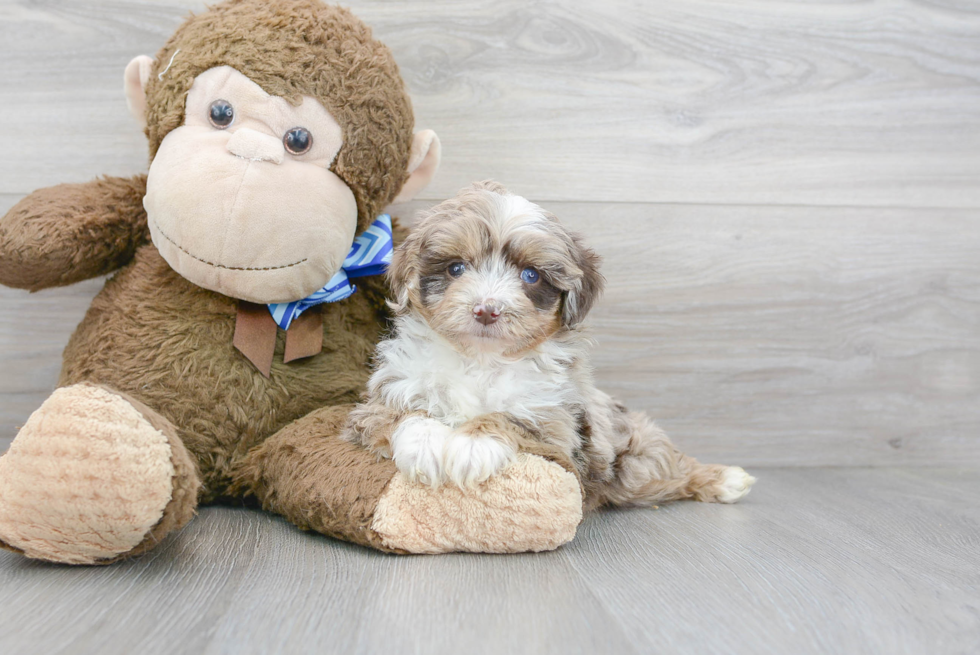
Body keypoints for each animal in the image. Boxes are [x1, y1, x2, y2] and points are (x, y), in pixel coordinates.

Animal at [346, 182, 756, 510]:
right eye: (456, 268)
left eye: (531, 276)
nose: (486, 310)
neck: (480, 359)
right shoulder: (379, 401)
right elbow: (403, 413)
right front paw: (427, 445)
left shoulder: (556, 424)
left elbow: (510, 417)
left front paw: (471, 446)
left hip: (636, 460)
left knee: (671, 467)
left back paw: (725, 479)